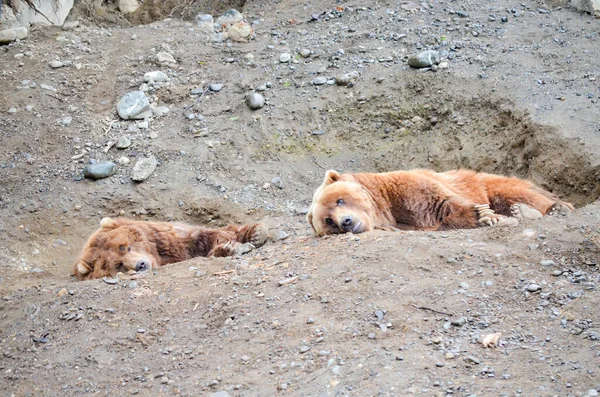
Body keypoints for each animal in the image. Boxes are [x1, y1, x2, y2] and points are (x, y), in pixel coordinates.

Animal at [72, 218, 268, 280]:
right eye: (118, 265)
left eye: (125, 247)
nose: (141, 265)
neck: (159, 256)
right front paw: (231, 249)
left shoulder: (169, 238)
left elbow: (205, 235)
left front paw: (255, 233)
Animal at [308, 168, 576, 235]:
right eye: (328, 221)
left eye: (340, 200)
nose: (346, 222)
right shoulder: (405, 224)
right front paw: (485, 217)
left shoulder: (408, 187)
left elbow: (443, 200)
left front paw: (484, 215)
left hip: (485, 182)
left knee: (516, 191)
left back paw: (552, 208)